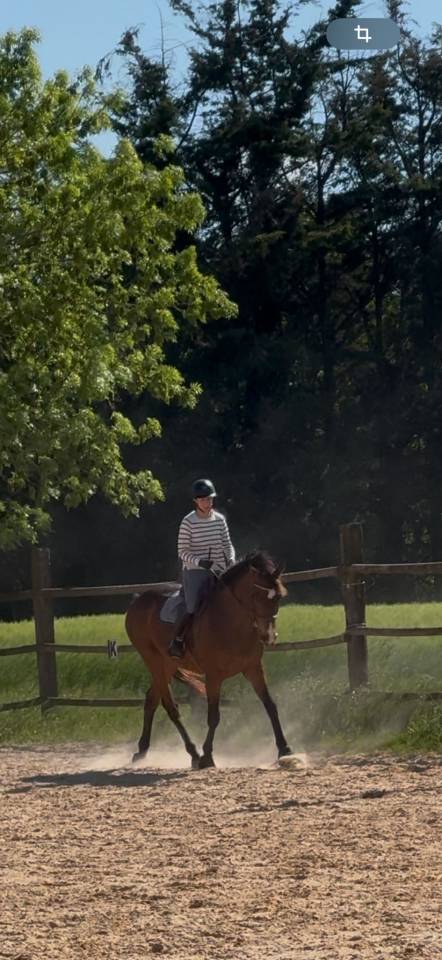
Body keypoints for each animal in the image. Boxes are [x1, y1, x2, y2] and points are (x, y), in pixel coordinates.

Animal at [125, 551, 293, 769]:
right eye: (256, 596)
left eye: (279, 597)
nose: (270, 636)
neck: (230, 623)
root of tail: (138, 601)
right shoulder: (213, 676)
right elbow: (214, 716)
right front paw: (207, 756)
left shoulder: (254, 668)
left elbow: (270, 705)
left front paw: (284, 749)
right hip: (152, 660)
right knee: (170, 707)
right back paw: (194, 753)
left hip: (167, 664)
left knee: (151, 699)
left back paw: (142, 750)